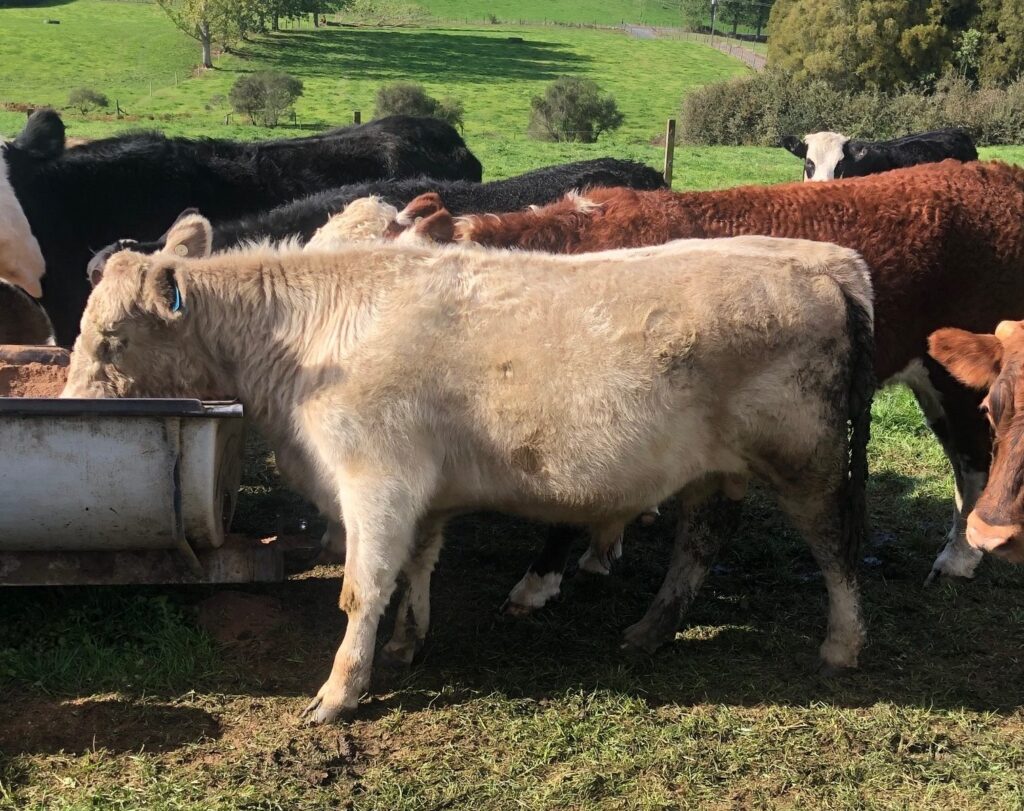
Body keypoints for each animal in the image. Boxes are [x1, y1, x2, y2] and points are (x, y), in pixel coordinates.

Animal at [63, 212, 874, 723]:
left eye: (110, 337)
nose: (70, 406)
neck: (312, 337)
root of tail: (824, 263)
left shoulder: (375, 480)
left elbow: (361, 588)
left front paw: (339, 691)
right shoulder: (421, 490)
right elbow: (417, 565)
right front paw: (407, 641)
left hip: (807, 459)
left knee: (836, 545)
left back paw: (843, 645)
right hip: (712, 466)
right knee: (701, 541)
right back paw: (650, 629)